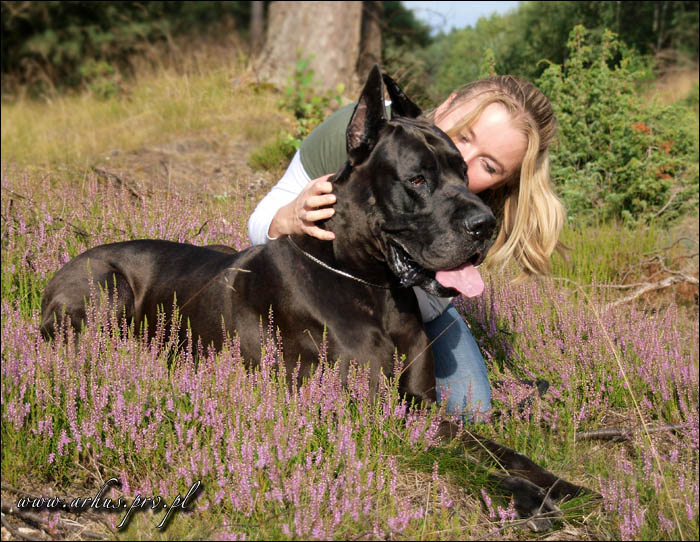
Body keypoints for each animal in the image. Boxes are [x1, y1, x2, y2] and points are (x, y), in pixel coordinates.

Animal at [41, 65, 588, 529]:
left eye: (466, 174)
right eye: (417, 178)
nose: (485, 224)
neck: (373, 287)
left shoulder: (418, 401)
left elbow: (490, 446)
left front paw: (561, 485)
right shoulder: (366, 412)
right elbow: (456, 453)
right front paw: (525, 497)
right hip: (107, 288)